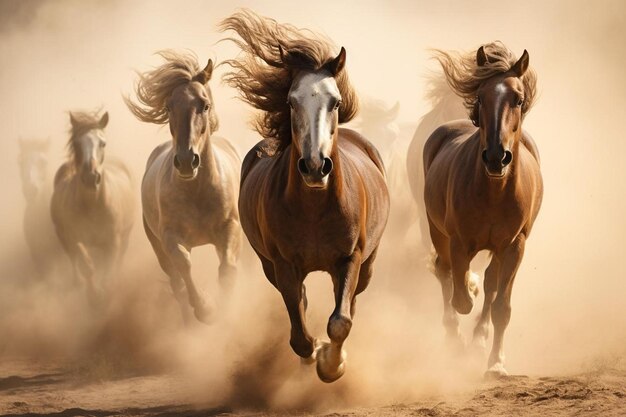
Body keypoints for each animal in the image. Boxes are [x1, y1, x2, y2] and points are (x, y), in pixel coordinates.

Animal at [50, 110, 133, 302]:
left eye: (103, 143)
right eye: (76, 143)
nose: (91, 178)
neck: (93, 206)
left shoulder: (113, 241)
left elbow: (109, 269)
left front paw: (106, 292)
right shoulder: (75, 238)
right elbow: (86, 266)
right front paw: (93, 296)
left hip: (126, 235)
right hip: (62, 235)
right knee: (73, 258)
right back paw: (77, 283)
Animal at [123, 50, 240, 324]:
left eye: (205, 105)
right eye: (168, 106)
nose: (187, 161)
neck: (197, 192)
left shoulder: (230, 227)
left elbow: (227, 270)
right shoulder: (170, 238)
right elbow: (185, 266)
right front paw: (206, 309)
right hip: (157, 247)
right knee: (176, 285)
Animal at [218, 9, 386, 382]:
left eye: (335, 102)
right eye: (291, 102)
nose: (314, 166)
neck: (314, 209)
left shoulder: (350, 259)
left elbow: (340, 321)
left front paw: (333, 365)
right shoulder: (283, 264)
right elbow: (299, 332)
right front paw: (315, 356)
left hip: (368, 265)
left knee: (350, 303)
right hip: (270, 266)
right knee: (303, 302)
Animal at [422, 43, 540, 376]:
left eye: (518, 99)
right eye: (481, 97)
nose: (496, 157)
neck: (494, 193)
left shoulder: (514, 246)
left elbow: (501, 306)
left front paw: (496, 363)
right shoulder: (459, 242)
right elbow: (460, 296)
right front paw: (460, 338)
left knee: (490, 282)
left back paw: (478, 339)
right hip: (437, 231)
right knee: (444, 271)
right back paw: (458, 337)